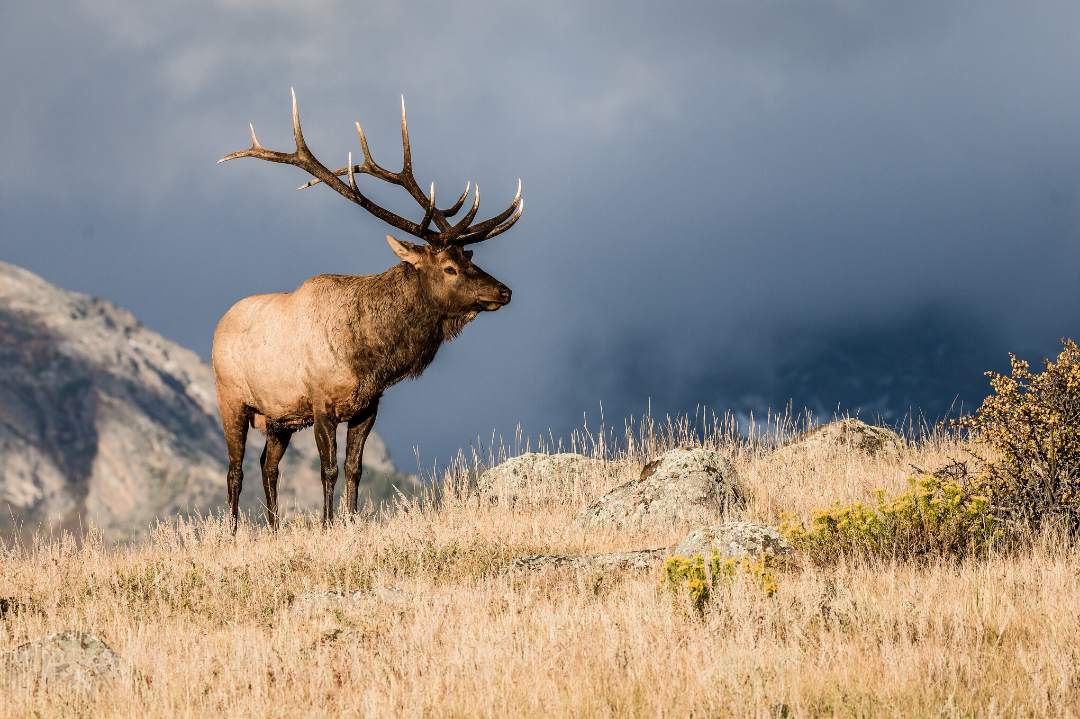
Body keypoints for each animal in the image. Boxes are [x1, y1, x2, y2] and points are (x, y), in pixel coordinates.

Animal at [211, 89, 522, 528]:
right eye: (449, 267)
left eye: (470, 257)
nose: (504, 291)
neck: (369, 357)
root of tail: (219, 324)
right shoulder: (320, 402)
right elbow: (329, 469)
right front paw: (327, 524)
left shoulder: (368, 406)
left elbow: (355, 468)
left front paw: (352, 520)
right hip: (232, 399)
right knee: (235, 470)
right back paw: (236, 532)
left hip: (279, 418)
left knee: (267, 466)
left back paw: (273, 529)